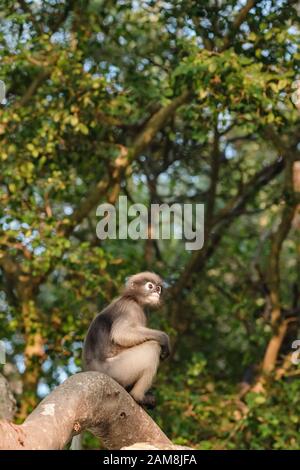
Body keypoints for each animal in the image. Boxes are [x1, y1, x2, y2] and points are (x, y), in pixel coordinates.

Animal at [82, 272, 171, 408]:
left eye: (158, 288)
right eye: (150, 286)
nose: (156, 291)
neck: (133, 298)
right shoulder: (131, 309)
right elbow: (121, 333)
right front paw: (163, 338)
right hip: (118, 369)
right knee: (152, 347)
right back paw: (138, 396)